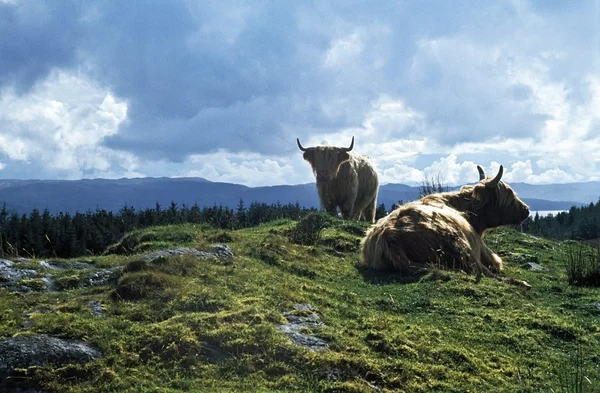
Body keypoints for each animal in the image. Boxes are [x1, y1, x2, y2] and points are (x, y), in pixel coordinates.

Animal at [358, 164, 532, 286]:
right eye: (508, 195)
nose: (527, 210)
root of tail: (389, 236)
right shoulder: (481, 248)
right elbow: (496, 262)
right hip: (462, 245)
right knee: (481, 270)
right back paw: (522, 283)